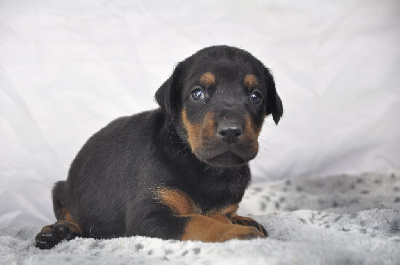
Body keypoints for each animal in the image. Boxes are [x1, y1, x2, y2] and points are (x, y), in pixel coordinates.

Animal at [35, 44, 284, 249]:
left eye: (256, 96)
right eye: (197, 93)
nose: (231, 130)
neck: (205, 168)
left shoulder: (226, 204)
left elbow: (219, 214)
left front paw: (241, 220)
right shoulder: (148, 218)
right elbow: (198, 221)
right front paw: (236, 232)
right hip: (61, 190)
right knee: (72, 215)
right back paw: (58, 231)